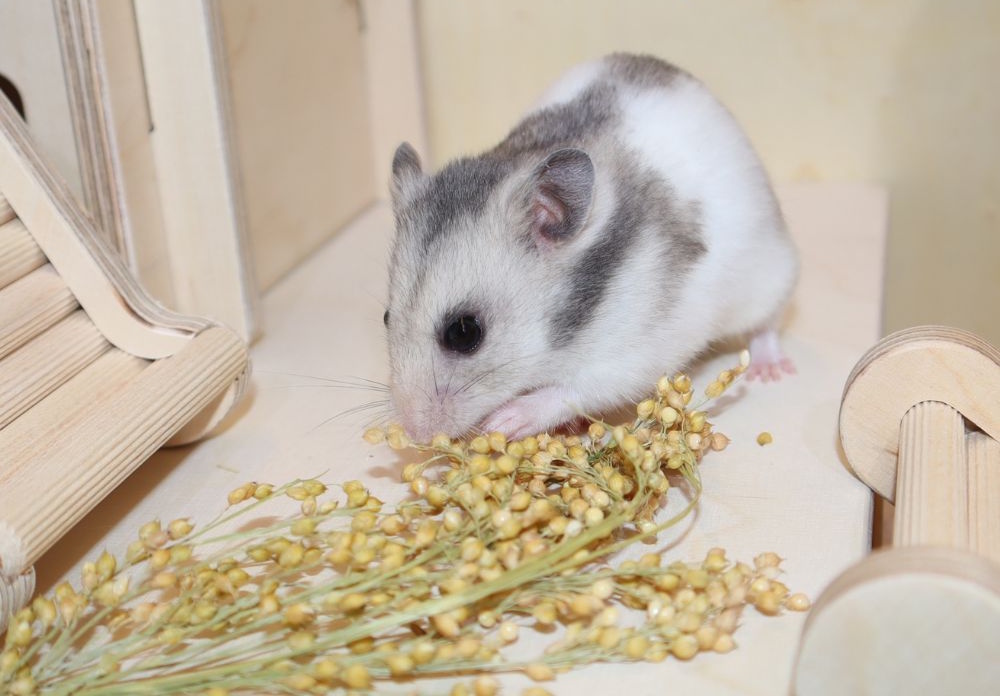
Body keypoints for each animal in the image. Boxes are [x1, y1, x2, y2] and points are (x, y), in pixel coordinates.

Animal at [384, 53, 798, 441]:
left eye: (464, 333)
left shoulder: (630, 354)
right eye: (387, 317)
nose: (415, 434)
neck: (572, 325)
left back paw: (771, 370)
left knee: (768, 323)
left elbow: (572, 389)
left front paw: (504, 422)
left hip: (771, 276)